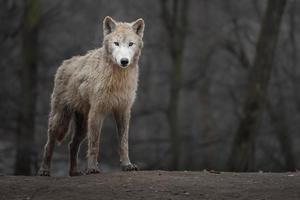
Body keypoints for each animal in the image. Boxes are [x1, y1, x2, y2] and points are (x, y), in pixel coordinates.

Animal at [38, 15, 146, 176]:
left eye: (130, 44)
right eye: (116, 43)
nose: (124, 61)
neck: (118, 79)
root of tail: (64, 63)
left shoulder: (123, 111)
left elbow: (123, 143)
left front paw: (127, 165)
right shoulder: (97, 111)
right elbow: (94, 144)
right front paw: (92, 168)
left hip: (83, 125)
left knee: (72, 144)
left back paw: (74, 172)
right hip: (61, 119)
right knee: (49, 144)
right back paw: (44, 170)